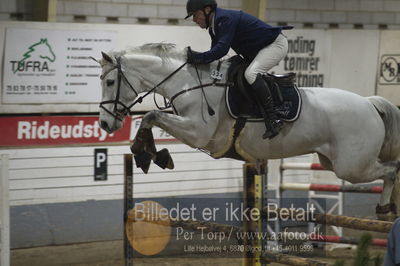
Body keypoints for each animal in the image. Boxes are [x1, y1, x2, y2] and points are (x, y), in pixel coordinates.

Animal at [95, 42, 400, 219]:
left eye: (109, 82)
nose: (105, 124)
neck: (189, 82)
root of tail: (370, 104)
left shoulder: (198, 132)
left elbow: (151, 115)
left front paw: (149, 154)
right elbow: (151, 118)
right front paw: (150, 153)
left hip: (351, 166)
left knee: (391, 169)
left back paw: (385, 208)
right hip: (332, 161)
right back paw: (389, 209)